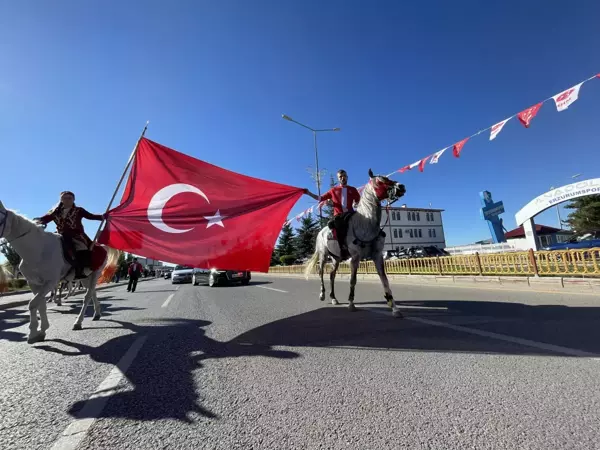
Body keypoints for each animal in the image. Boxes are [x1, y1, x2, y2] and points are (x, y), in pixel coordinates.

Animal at [0, 201, 119, 344]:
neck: (38, 249)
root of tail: (101, 247)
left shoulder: (50, 282)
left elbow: (33, 304)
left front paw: (33, 333)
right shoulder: (34, 283)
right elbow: (40, 304)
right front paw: (41, 331)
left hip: (95, 273)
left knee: (87, 297)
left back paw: (78, 322)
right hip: (85, 278)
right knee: (92, 293)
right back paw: (97, 314)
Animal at [304, 169, 408, 316]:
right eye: (380, 181)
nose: (401, 187)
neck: (366, 223)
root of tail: (321, 232)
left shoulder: (377, 256)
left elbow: (385, 280)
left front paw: (394, 307)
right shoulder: (355, 257)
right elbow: (353, 280)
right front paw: (351, 303)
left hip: (336, 259)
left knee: (332, 275)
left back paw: (333, 298)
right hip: (323, 255)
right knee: (321, 273)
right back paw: (322, 294)